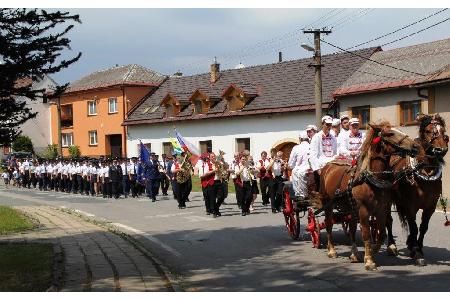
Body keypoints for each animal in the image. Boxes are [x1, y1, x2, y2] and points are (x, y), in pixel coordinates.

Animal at [312, 120, 418, 270]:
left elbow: (381, 233)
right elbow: (366, 234)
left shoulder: (381, 210)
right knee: (329, 224)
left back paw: (354, 254)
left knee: (351, 228)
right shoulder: (363, 210)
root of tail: (328, 165)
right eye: (390, 134)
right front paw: (369, 260)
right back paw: (331, 250)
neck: (370, 179)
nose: (415, 146)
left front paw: (373, 250)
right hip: (328, 203)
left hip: (350, 207)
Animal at [384, 113, 448, 266]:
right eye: (428, 131)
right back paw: (391, 245)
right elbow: (413, 227)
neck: (426, 172)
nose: (441, 150)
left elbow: (423, 227)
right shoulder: (410, 205)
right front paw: (416, 252)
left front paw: (417, 246)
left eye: (443, 131)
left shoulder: (430, 206)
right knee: (388, 220)